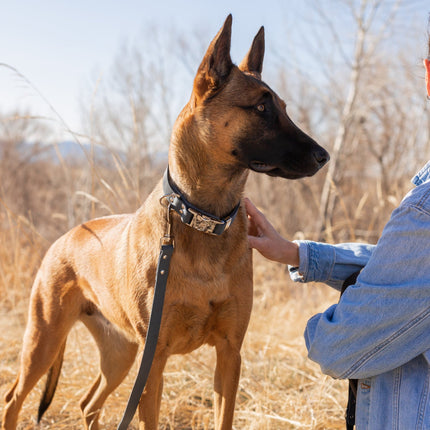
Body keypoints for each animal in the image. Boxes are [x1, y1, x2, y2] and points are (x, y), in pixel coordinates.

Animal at [0, 15, 330, 430]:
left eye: (283, 108)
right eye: (260, 108)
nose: (323, 156)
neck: (204, 218)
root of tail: (65, 236)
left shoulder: (229, 354)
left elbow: (223, 417)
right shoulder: (154, 362)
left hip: (121, 355)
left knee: (88, 403)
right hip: (45, 342)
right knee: (13, 399)